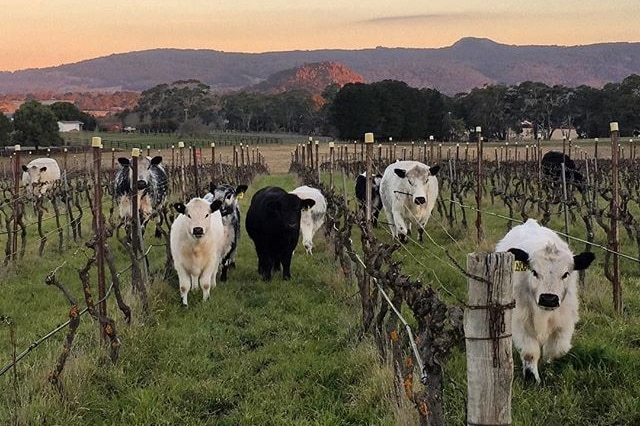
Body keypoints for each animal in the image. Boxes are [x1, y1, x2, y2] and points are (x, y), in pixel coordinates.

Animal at [496, 220, 596, 382]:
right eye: (534, 272)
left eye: (565, 274)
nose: (548, 299)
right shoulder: (520, 322)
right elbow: (530, 353)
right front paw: (532, 378)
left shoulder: (565, 322)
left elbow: (556, 349)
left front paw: (547, 364)